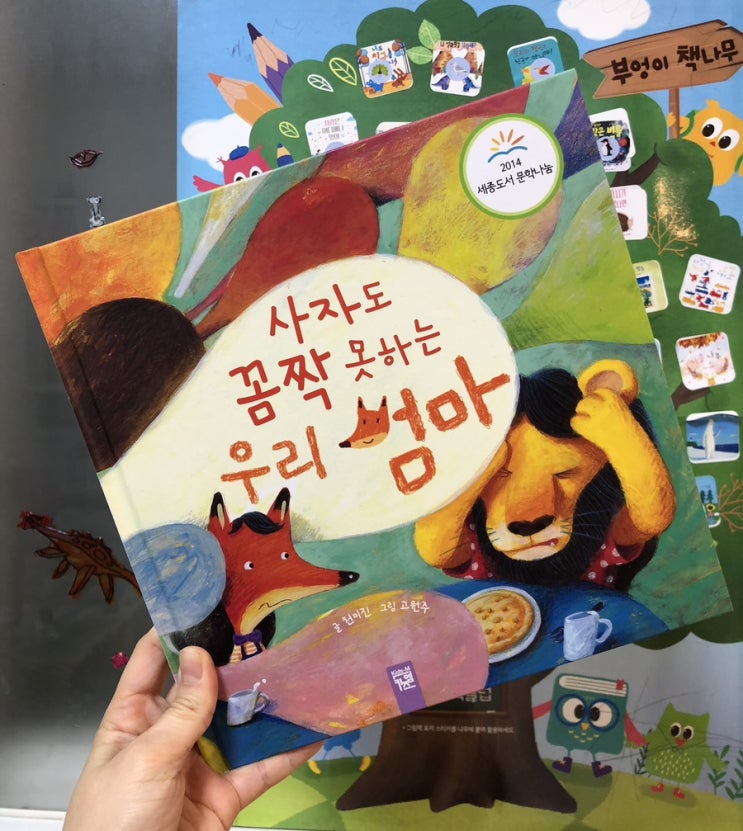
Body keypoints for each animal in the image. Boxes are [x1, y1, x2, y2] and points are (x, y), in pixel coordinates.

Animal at [414, 359, 676, 591]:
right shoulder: (468, 553)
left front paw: (603, 413)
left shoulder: (621, 534)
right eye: (502, 475)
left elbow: (651, 514)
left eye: (565, 473)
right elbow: (435, 547)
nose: (529, 526)